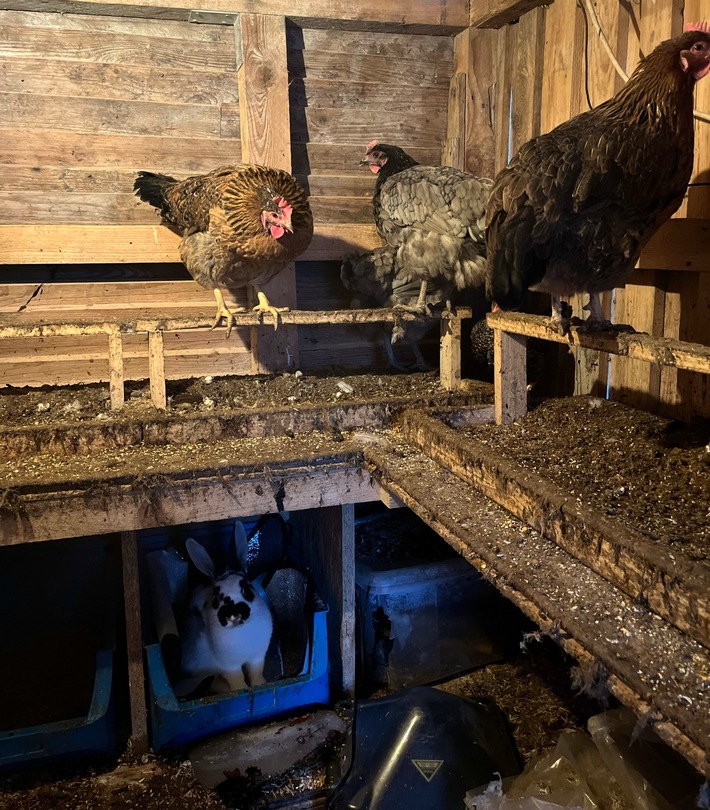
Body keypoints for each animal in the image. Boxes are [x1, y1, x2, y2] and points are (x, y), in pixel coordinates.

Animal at [177, 520, 274, 696]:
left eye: (246, 589)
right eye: (216, 597)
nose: (233, 615)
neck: (242, 631)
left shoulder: (257, 657)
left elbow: (255, 673)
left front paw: (261, 684)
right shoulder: (228, 666)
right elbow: (236, 680)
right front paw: (240, 690)